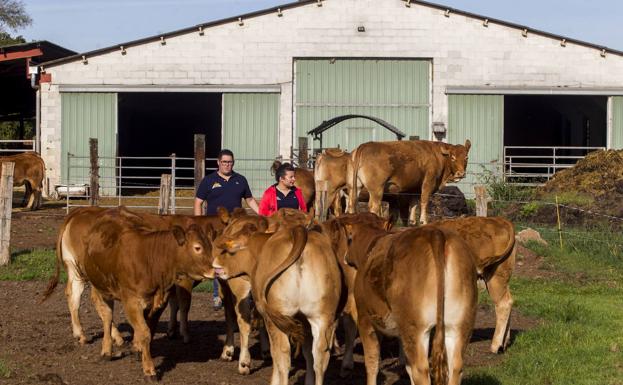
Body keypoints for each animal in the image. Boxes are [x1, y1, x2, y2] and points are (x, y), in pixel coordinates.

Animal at [43, 208, 214, 376]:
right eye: (197, 247)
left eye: (210, 246)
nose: (214, 270)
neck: (151, 259)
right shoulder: (132, 302)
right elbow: (145, 331)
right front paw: (149, 369)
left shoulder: (159, 302)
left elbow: (149, 330)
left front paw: (139, 349)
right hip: (94, 281)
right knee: (104, 313)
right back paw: (105, 348)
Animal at [213, 219, 342, 384]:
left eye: (231, 250)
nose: (215, 262)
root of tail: (298, 232)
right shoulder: (303, 321)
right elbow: (308, 353)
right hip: (323, 317)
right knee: (320, 357)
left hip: (276, 317)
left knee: (282, 354)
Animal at [342, 219, 478, 384]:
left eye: (349, 239)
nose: (345, 257)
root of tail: (435, 233)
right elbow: (407, 366)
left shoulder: (365, 318)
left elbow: (372, 362)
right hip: (460, 324)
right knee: (455, 367)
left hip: (415, 328)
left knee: (420, 370)